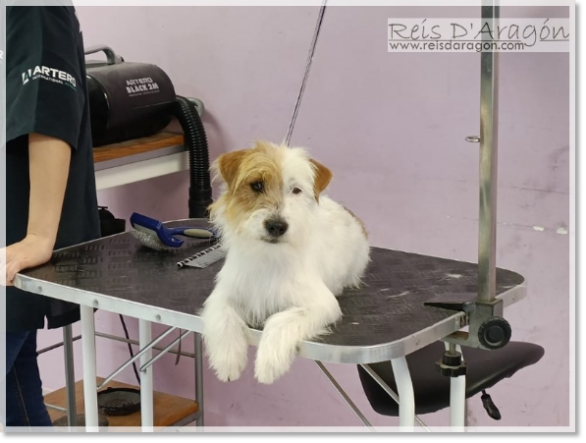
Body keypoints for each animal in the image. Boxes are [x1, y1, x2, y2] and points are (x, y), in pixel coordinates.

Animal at [198, 142, 368, 386]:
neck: (269, 255)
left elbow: (279, 320)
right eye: (257, 185)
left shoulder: (321, 303)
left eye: (296, 190)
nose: (277, 226)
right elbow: (224, 318)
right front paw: (227, 361)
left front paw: (269, 364)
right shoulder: (223, 296)